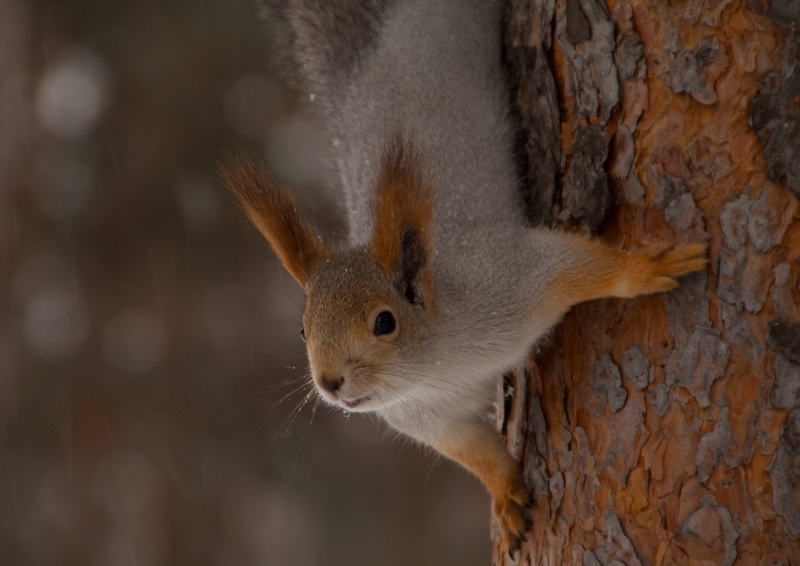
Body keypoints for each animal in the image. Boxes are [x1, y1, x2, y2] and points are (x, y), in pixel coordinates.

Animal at [219, 0, 708, 556]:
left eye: (384, 322)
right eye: (302, 329)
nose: (330, 382)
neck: (436, 366)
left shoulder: (509, 279)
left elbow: (574, 265)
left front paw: (646, 269)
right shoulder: (431, 419)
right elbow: (475, 452)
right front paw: (505, 495)